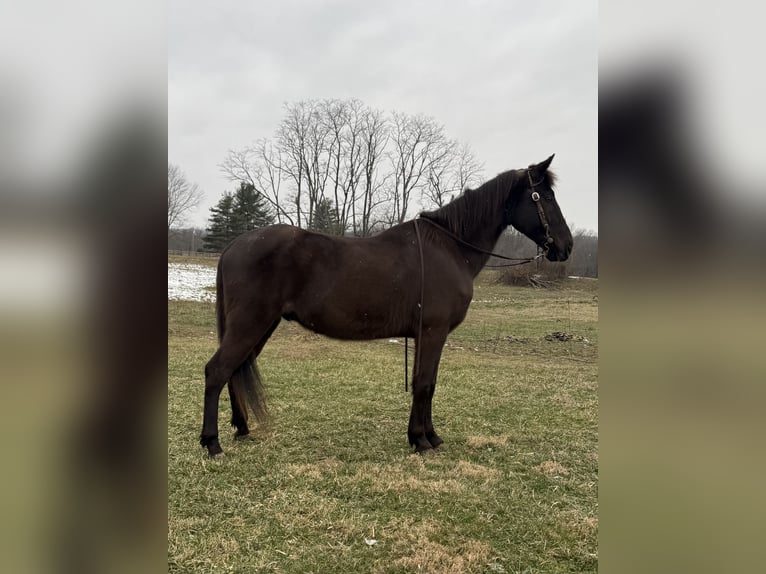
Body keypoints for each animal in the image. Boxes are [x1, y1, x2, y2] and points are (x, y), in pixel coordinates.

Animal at [200, 154, 573, 457]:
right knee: (217, 370)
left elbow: (428, 383)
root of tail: (234, 246)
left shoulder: (426, 335)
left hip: (261, 326)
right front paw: (421, 441)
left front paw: (429, 437)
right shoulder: (433, 332)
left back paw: (241, 429)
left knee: (235, 370)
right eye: (545, 196)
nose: (566, 246)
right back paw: (211, 443)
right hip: (251, 323)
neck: (449, 247)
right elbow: (424, 383)